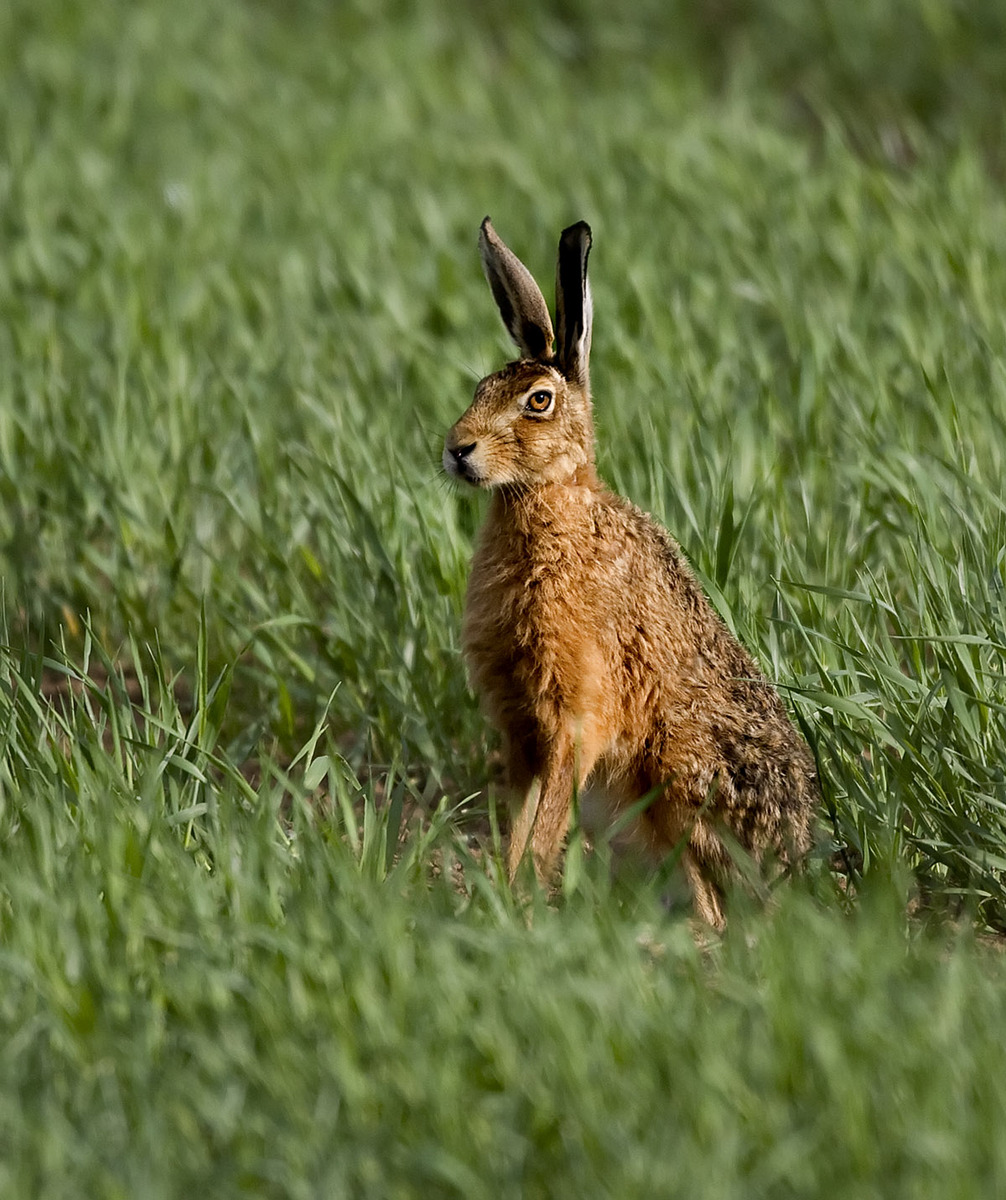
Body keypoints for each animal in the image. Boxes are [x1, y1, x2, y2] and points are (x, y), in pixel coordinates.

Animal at [442, 217, 819, 927]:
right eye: (479, 389)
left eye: (539, 401)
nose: (456, 450)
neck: (550, 502)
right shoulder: (523, 729)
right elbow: (522, 822)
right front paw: (501, 896)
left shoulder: (574, 715)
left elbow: (545, 827)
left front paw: (523, 900)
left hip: (683, 779)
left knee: (715, 901)